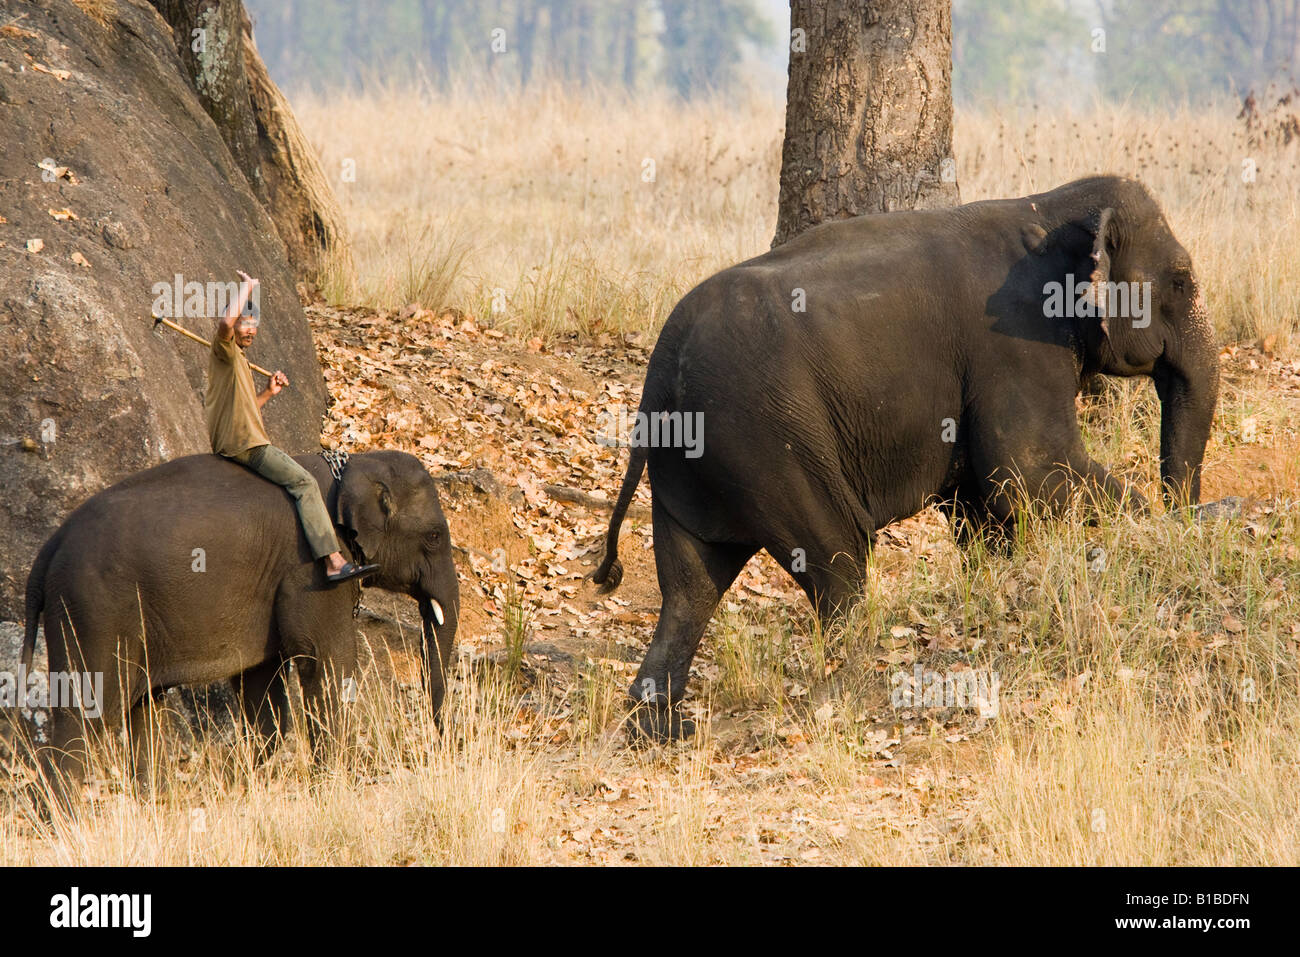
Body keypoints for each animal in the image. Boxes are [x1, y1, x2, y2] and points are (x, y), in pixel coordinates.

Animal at [21, 447, 462, 800]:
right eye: (435, 536)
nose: (443, 744)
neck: (352, 465)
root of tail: (48, 550)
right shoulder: (314, 570)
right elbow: (327, 662)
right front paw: (333, 786)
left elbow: (263, 690)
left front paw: (228, 779)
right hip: (91, 609)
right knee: (84, 714)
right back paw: (65, 823)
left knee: (144, 707)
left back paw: (158, 807)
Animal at [595, 174, 1222, 738]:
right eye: (1181, 281)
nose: (1188, 510)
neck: (1049, 203)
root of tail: (658, 370)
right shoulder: (1015, 342)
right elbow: (1028, 468)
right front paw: (1171, 523)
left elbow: (983, 501)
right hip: (767, 438)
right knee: (839, 562)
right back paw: (844, 687)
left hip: (699, 457)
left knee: (690, 585)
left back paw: (662, 729)